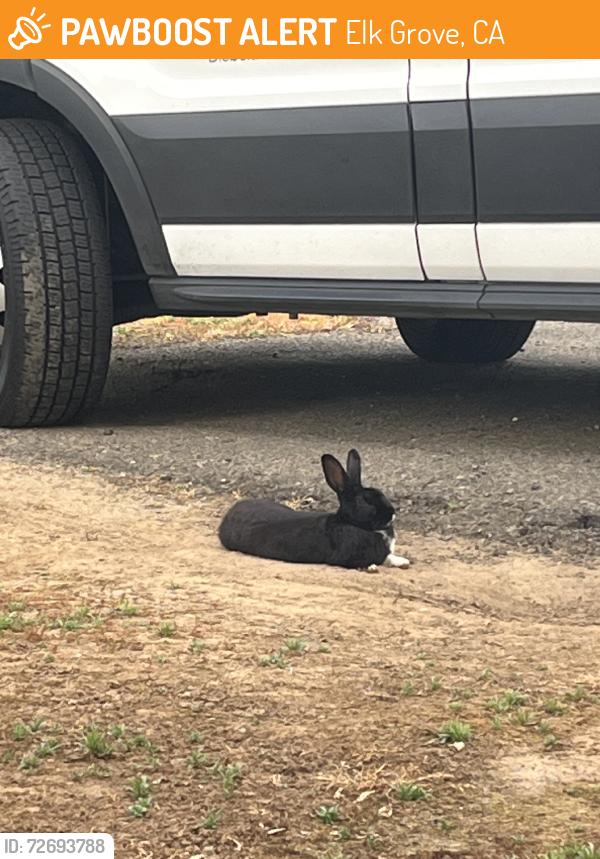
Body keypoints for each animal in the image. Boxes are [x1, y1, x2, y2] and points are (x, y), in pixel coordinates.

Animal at [218, 449, 410, 570]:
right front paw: (375, 567)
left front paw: (403, 561)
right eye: (365, 501)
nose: (392, 513)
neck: (352, 523)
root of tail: (228, 515)